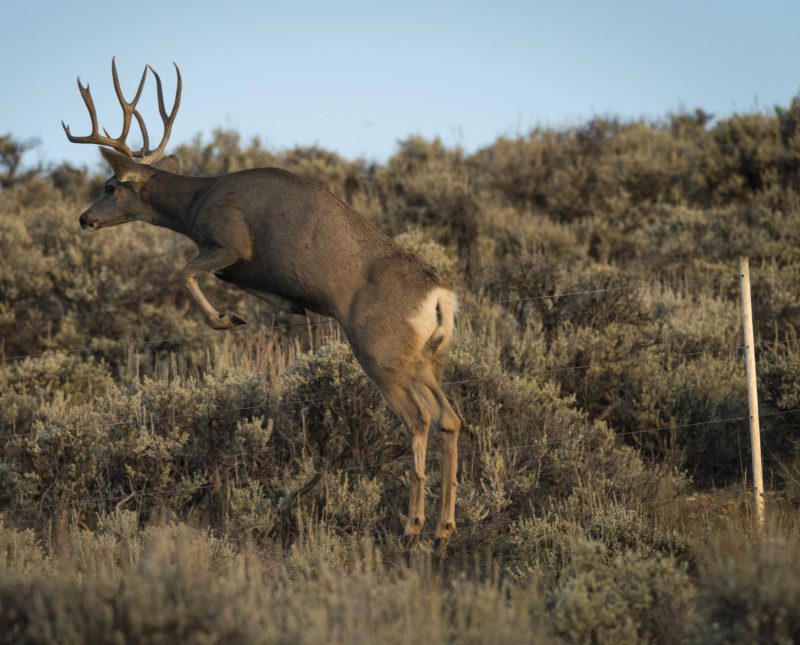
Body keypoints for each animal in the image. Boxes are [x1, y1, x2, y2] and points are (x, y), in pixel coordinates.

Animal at [62, 59, 461, 555]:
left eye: (111, 185)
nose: (85, 218)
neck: (198, 203)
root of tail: (440, 296)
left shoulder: (229, 241)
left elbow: (186, 272)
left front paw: (227, 319)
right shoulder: (235, 260)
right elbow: (222, 279)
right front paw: (284, 306)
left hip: (381, 352)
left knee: (420, 420)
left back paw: (412, 527)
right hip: (427, 358)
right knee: (450, 418)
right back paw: (444, 531)